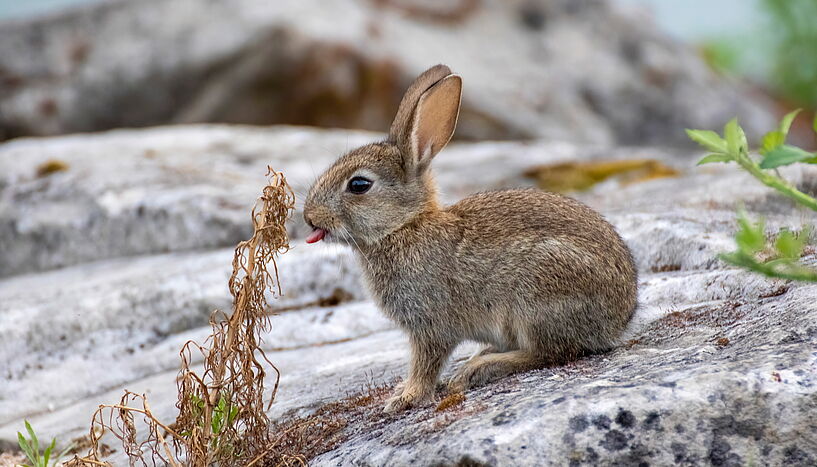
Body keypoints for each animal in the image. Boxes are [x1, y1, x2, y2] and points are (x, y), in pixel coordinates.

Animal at [302, 64, 636, 412]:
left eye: (359, 185)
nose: (309, 216)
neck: (404, 226)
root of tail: (618, 321)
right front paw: (404, 392)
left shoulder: (430, 324)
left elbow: (426, 363)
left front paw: (406, 398)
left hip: (537, 294)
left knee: (549, 352)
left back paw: (479, 368)